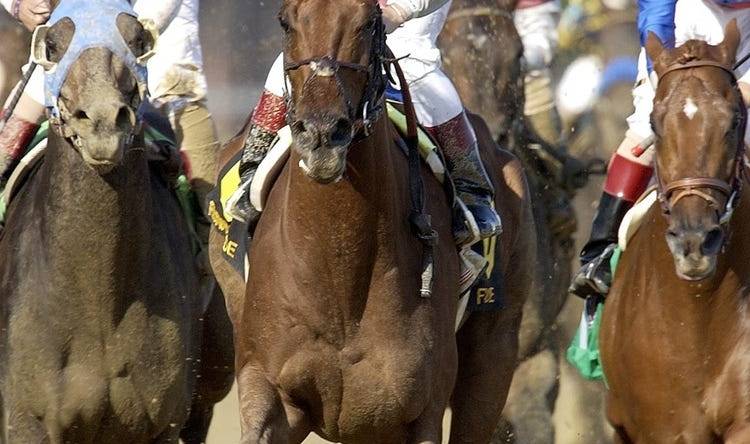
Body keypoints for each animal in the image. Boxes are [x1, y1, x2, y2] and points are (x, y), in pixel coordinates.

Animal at [212, 0, 536, 444]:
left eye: (367, 23)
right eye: (285, 21)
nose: (322, 134)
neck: (338, 264)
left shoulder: (420, 407)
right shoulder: (268, 389)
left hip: (495, 346)